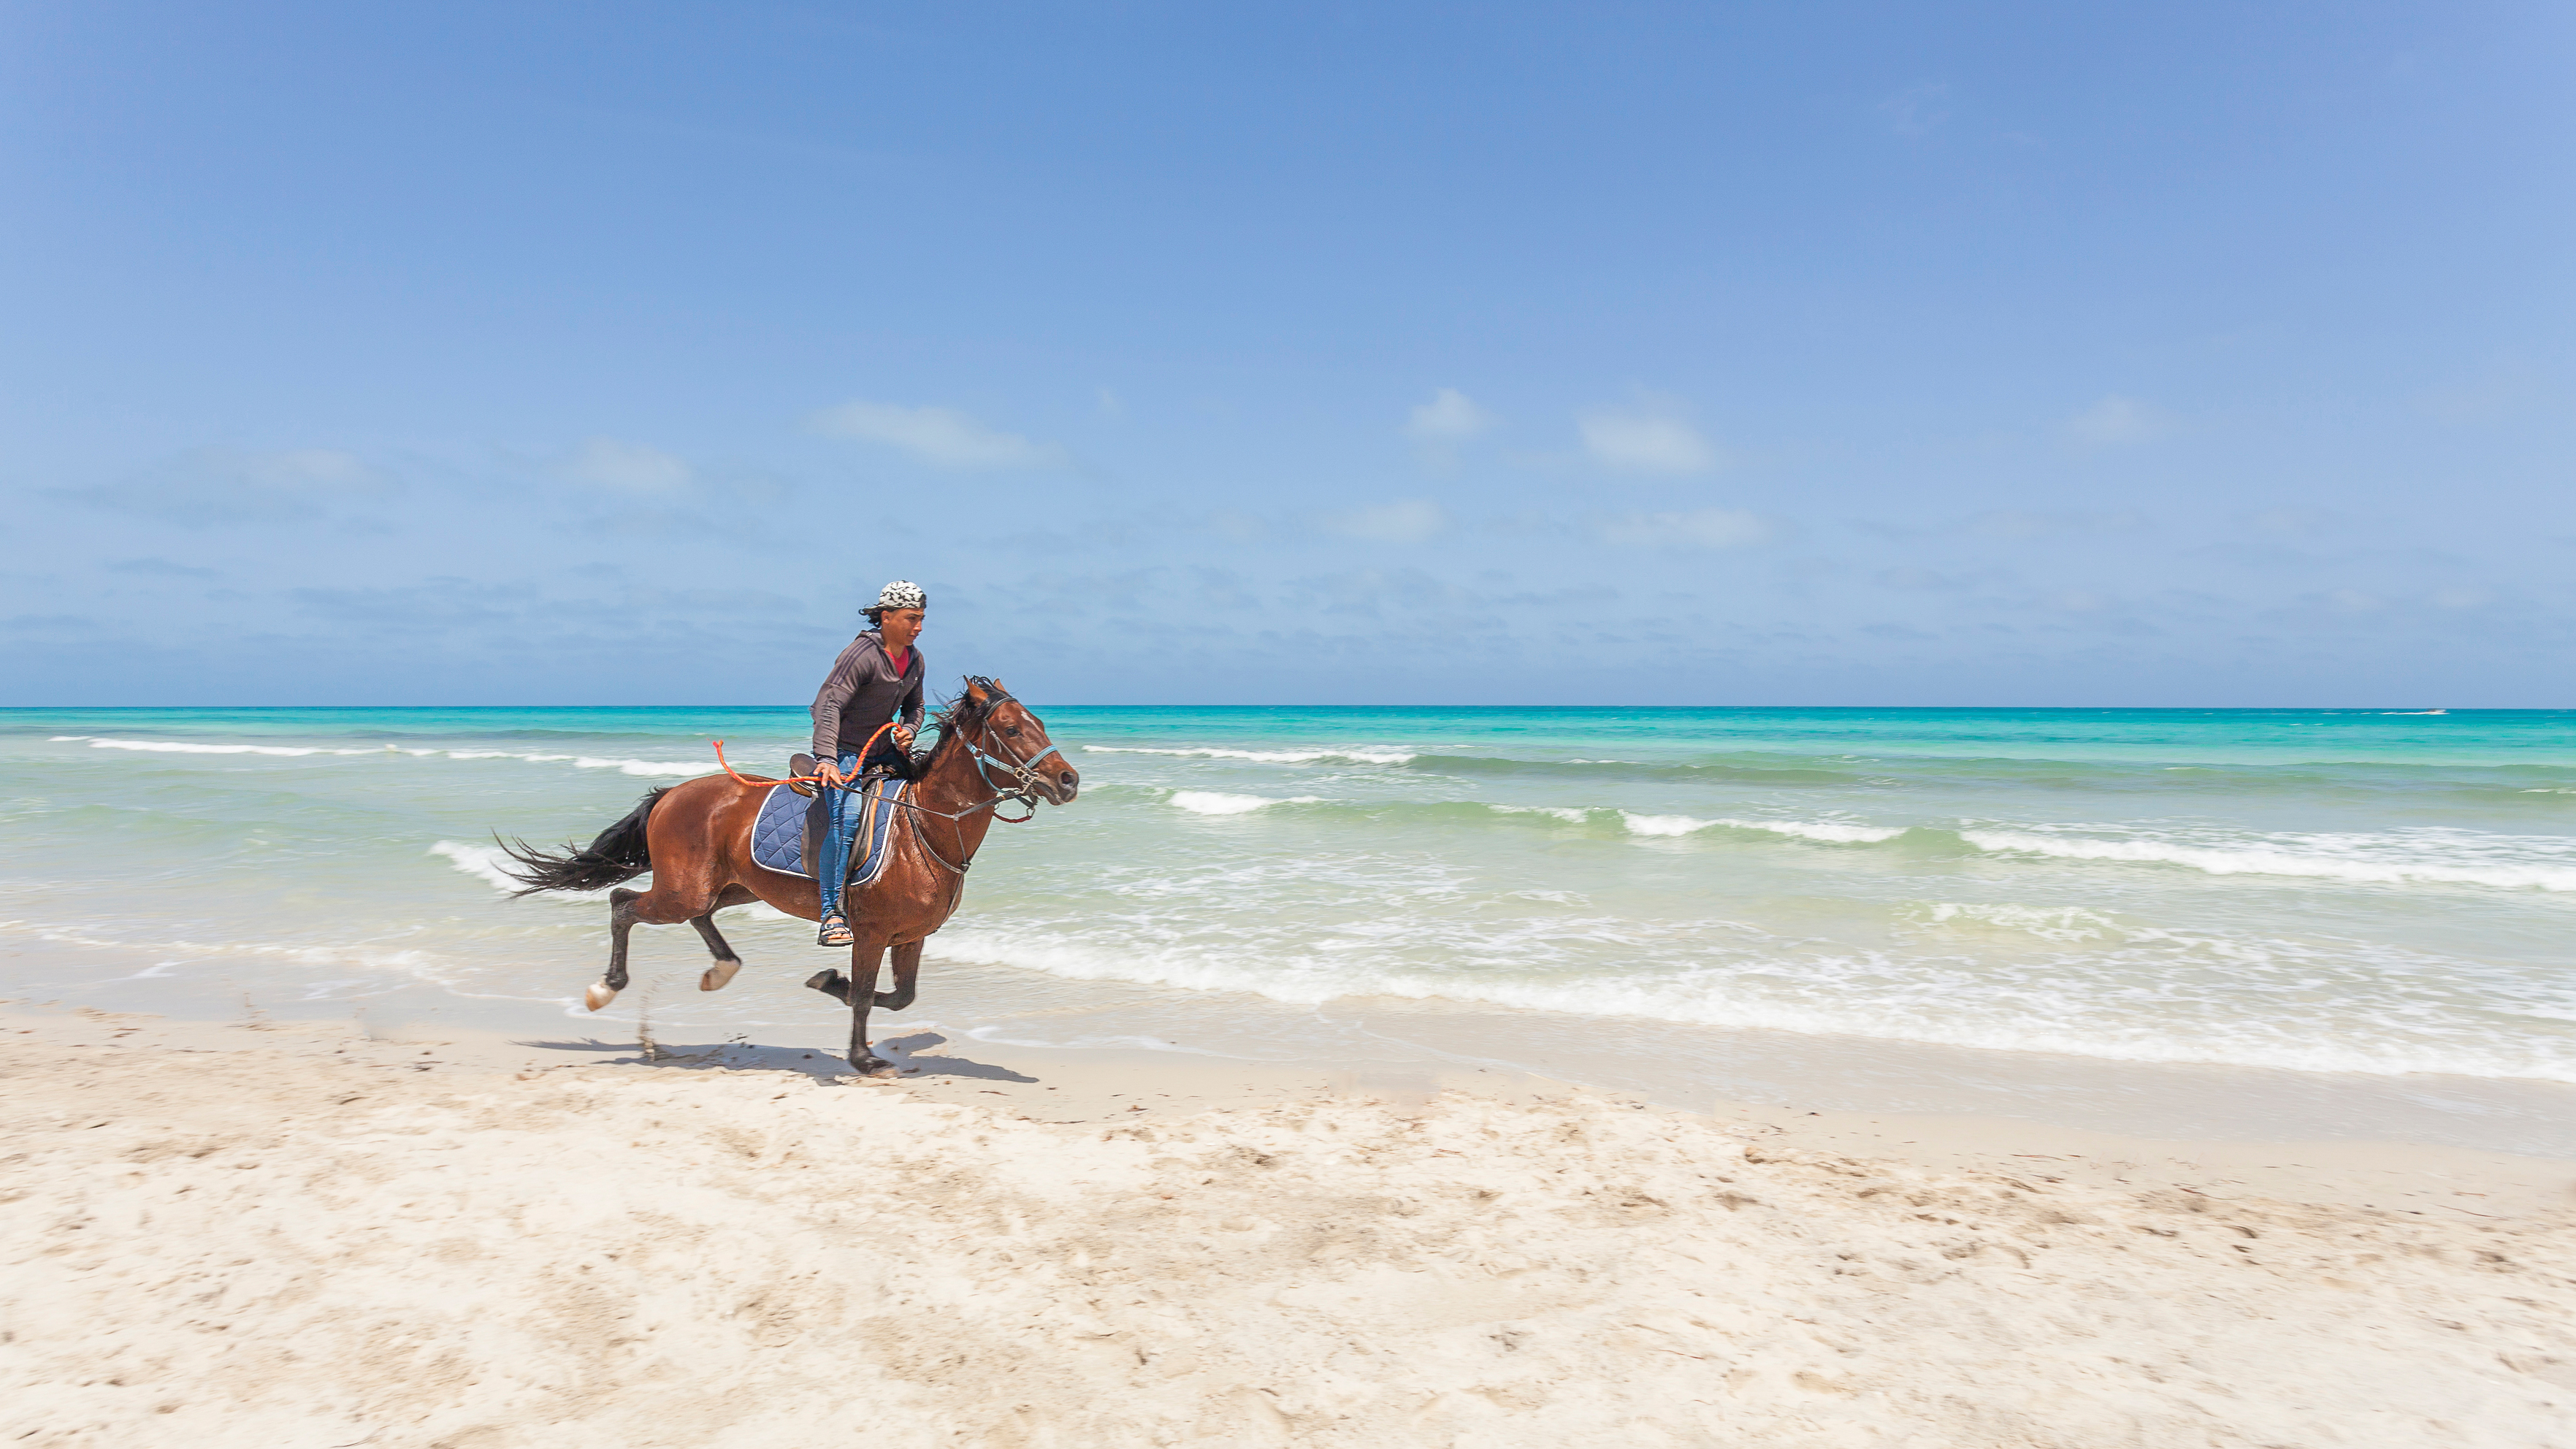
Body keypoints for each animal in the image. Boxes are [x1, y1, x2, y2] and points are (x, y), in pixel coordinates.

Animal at [496, 677, 1078, 1074]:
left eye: (1040, 724)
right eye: (1011, 730)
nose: (1068, 780)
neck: (925, 829)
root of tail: (671, 794)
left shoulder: (910, 937)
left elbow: (899, 997)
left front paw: (830, 984)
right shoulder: (871, 933)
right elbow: (865, 995)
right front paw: (862, 1055)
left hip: (731, 889)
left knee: (695, 917)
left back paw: (720, 970)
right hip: (683, 892)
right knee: (623, 903)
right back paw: (606, 988)